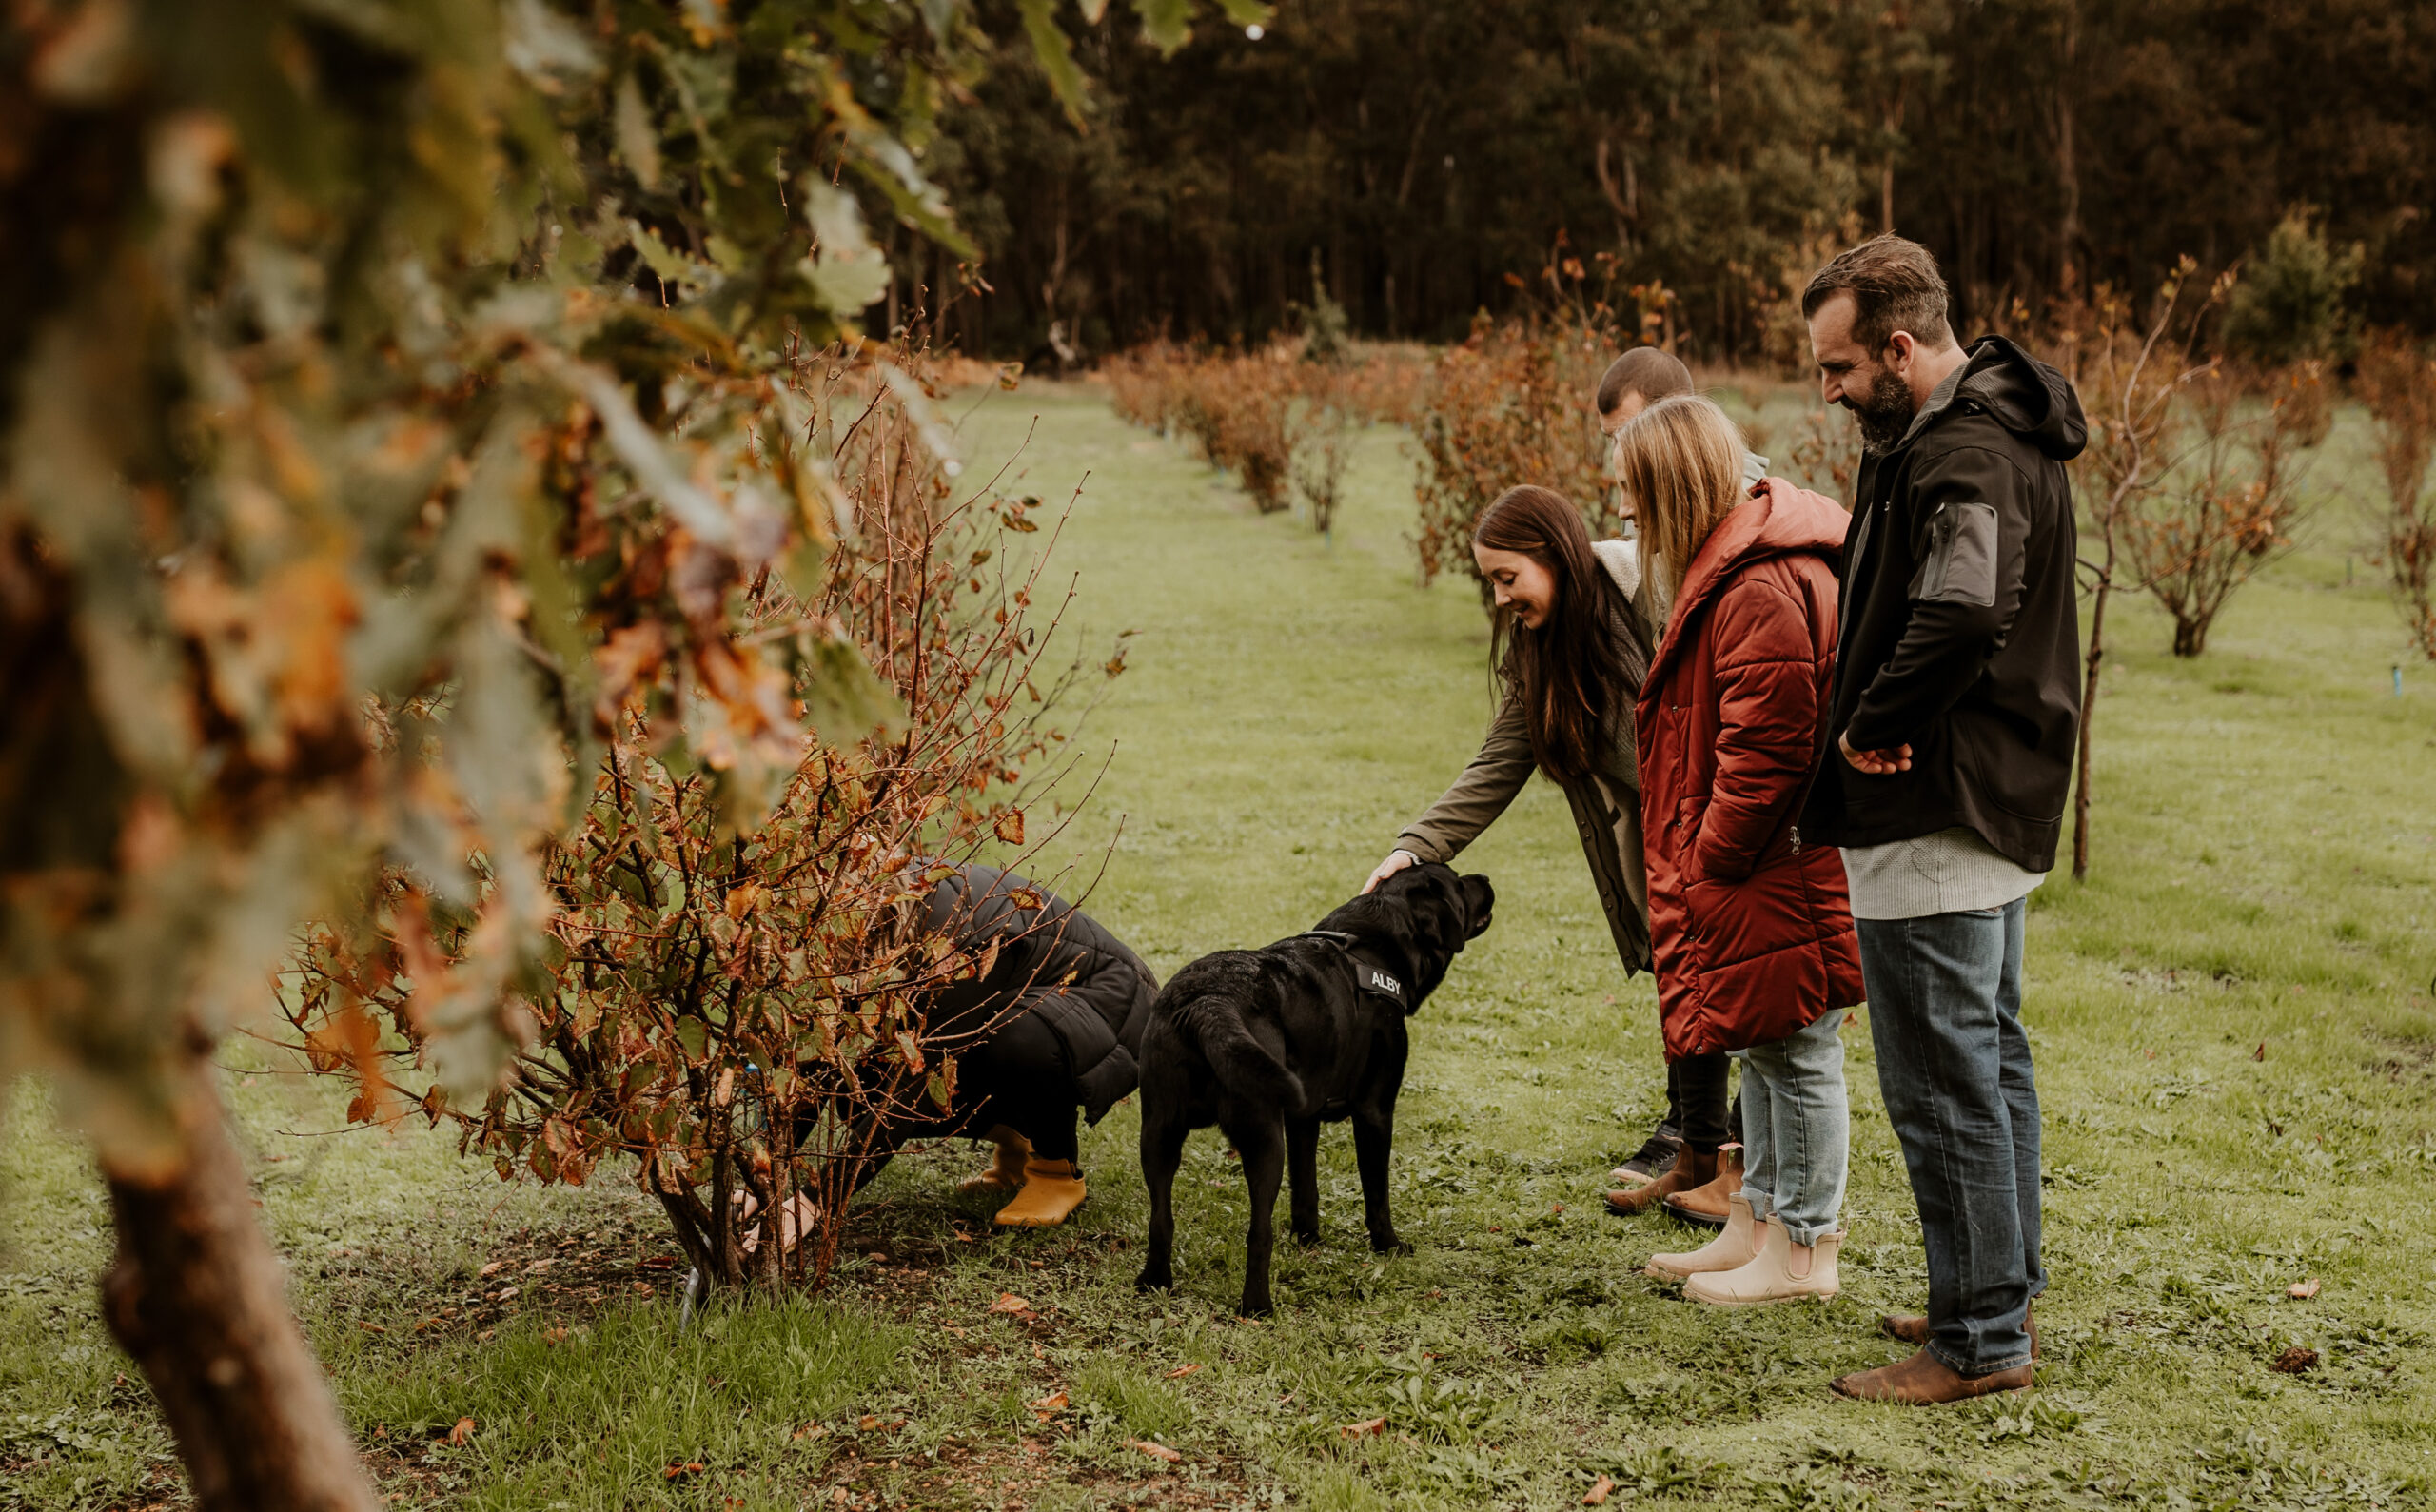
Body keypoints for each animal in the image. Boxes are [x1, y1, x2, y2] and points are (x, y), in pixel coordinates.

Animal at [1130, 866, 1490, 1314]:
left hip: (1158, 1133)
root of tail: (1207, 1002)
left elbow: (1306, 1189)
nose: (1486, 878)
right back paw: (1257, 1307)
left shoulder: (1304, 1116)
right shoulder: (1374, 1110)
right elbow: (1377, 1193)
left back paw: (1154, 1282)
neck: (1375, 948)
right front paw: (1388, 1246)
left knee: (1161, 1220)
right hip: (1264, 1138)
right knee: (1258, 1232)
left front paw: (1307, 1240)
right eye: (1459, 883)